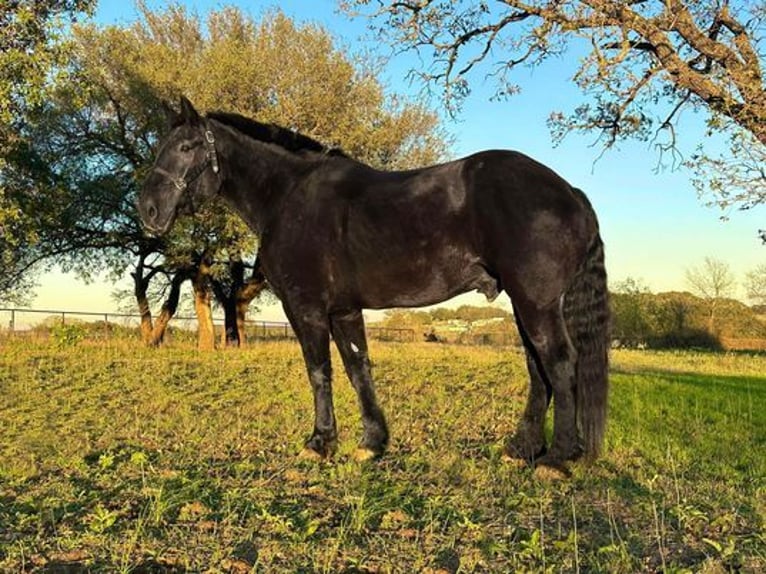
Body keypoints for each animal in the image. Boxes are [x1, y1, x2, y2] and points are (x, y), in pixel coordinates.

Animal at [135, 98, 608, 476]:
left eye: (186, 147)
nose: (148, 210)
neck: (288, 196)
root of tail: (570, 192)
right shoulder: (344, 309)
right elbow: (357, 368)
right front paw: (371, 443)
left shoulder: (305, 307)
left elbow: (319, 371)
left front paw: (319, 443)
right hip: (524, 305)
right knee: (538, 370)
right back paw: (522, 449)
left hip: (536, 303)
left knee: (559, 363)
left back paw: (556, 459)